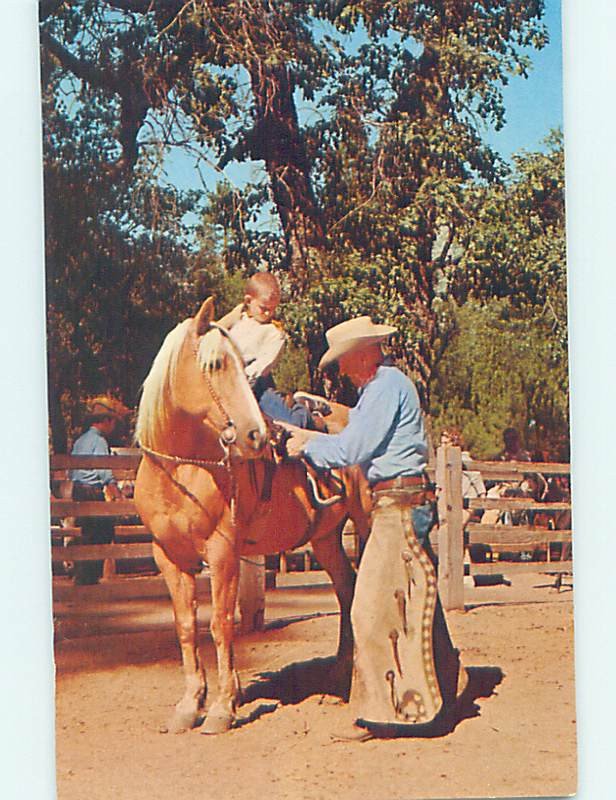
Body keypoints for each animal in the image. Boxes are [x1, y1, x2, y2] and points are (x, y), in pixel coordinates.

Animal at [134, 298, 370, 732]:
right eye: (214, 364)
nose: (255, 435)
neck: (182, 470)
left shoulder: (222, 553)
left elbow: (221, 624)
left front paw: (222, 707)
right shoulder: (168, 556)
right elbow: (186, 626)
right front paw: (189, 705)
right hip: (325, 537)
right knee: (347, 588)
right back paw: (339, 673)